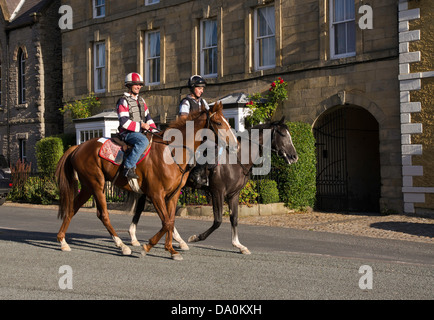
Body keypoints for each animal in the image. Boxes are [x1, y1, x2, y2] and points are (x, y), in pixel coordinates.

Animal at [56, 102, 237, 260]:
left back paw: (62, 241)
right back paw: (123, 246)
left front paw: (171, 249)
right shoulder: (156, 194)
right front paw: (147, 246)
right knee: (103, 215)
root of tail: (78, 147)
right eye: (219, 122)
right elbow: (166, 222)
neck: (171, 151)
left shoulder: (172, 195)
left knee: (72, 209)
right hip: (96, 185)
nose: (235, 144)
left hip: (87, 187)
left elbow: (170, 221)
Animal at [128, 117, 298, 255]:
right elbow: (218, 221)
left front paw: (239, 245)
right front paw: (196, 237)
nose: (294, 156)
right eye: (283, 134)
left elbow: (234, 218)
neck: (236, 158)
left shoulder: (233, 194)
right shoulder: (217, 192)